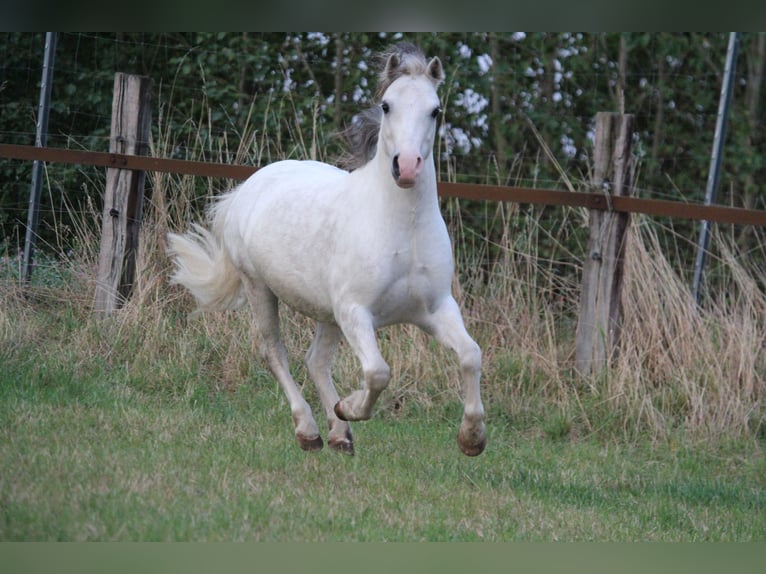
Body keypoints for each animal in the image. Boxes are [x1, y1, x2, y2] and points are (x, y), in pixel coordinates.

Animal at [167, 42, 486, 457]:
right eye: (386, 105)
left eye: (435, 110)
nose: (407, 167)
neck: (403, 230)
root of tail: (248, 187)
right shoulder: (355, 312)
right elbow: (378, 372)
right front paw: (350, 407)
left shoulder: (435, 310)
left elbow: (471, 355)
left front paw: (472, 439)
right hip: (260, 289)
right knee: (275, 353)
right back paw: (309, 430)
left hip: (326, 313)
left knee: (316, 361)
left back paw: (339, 435)